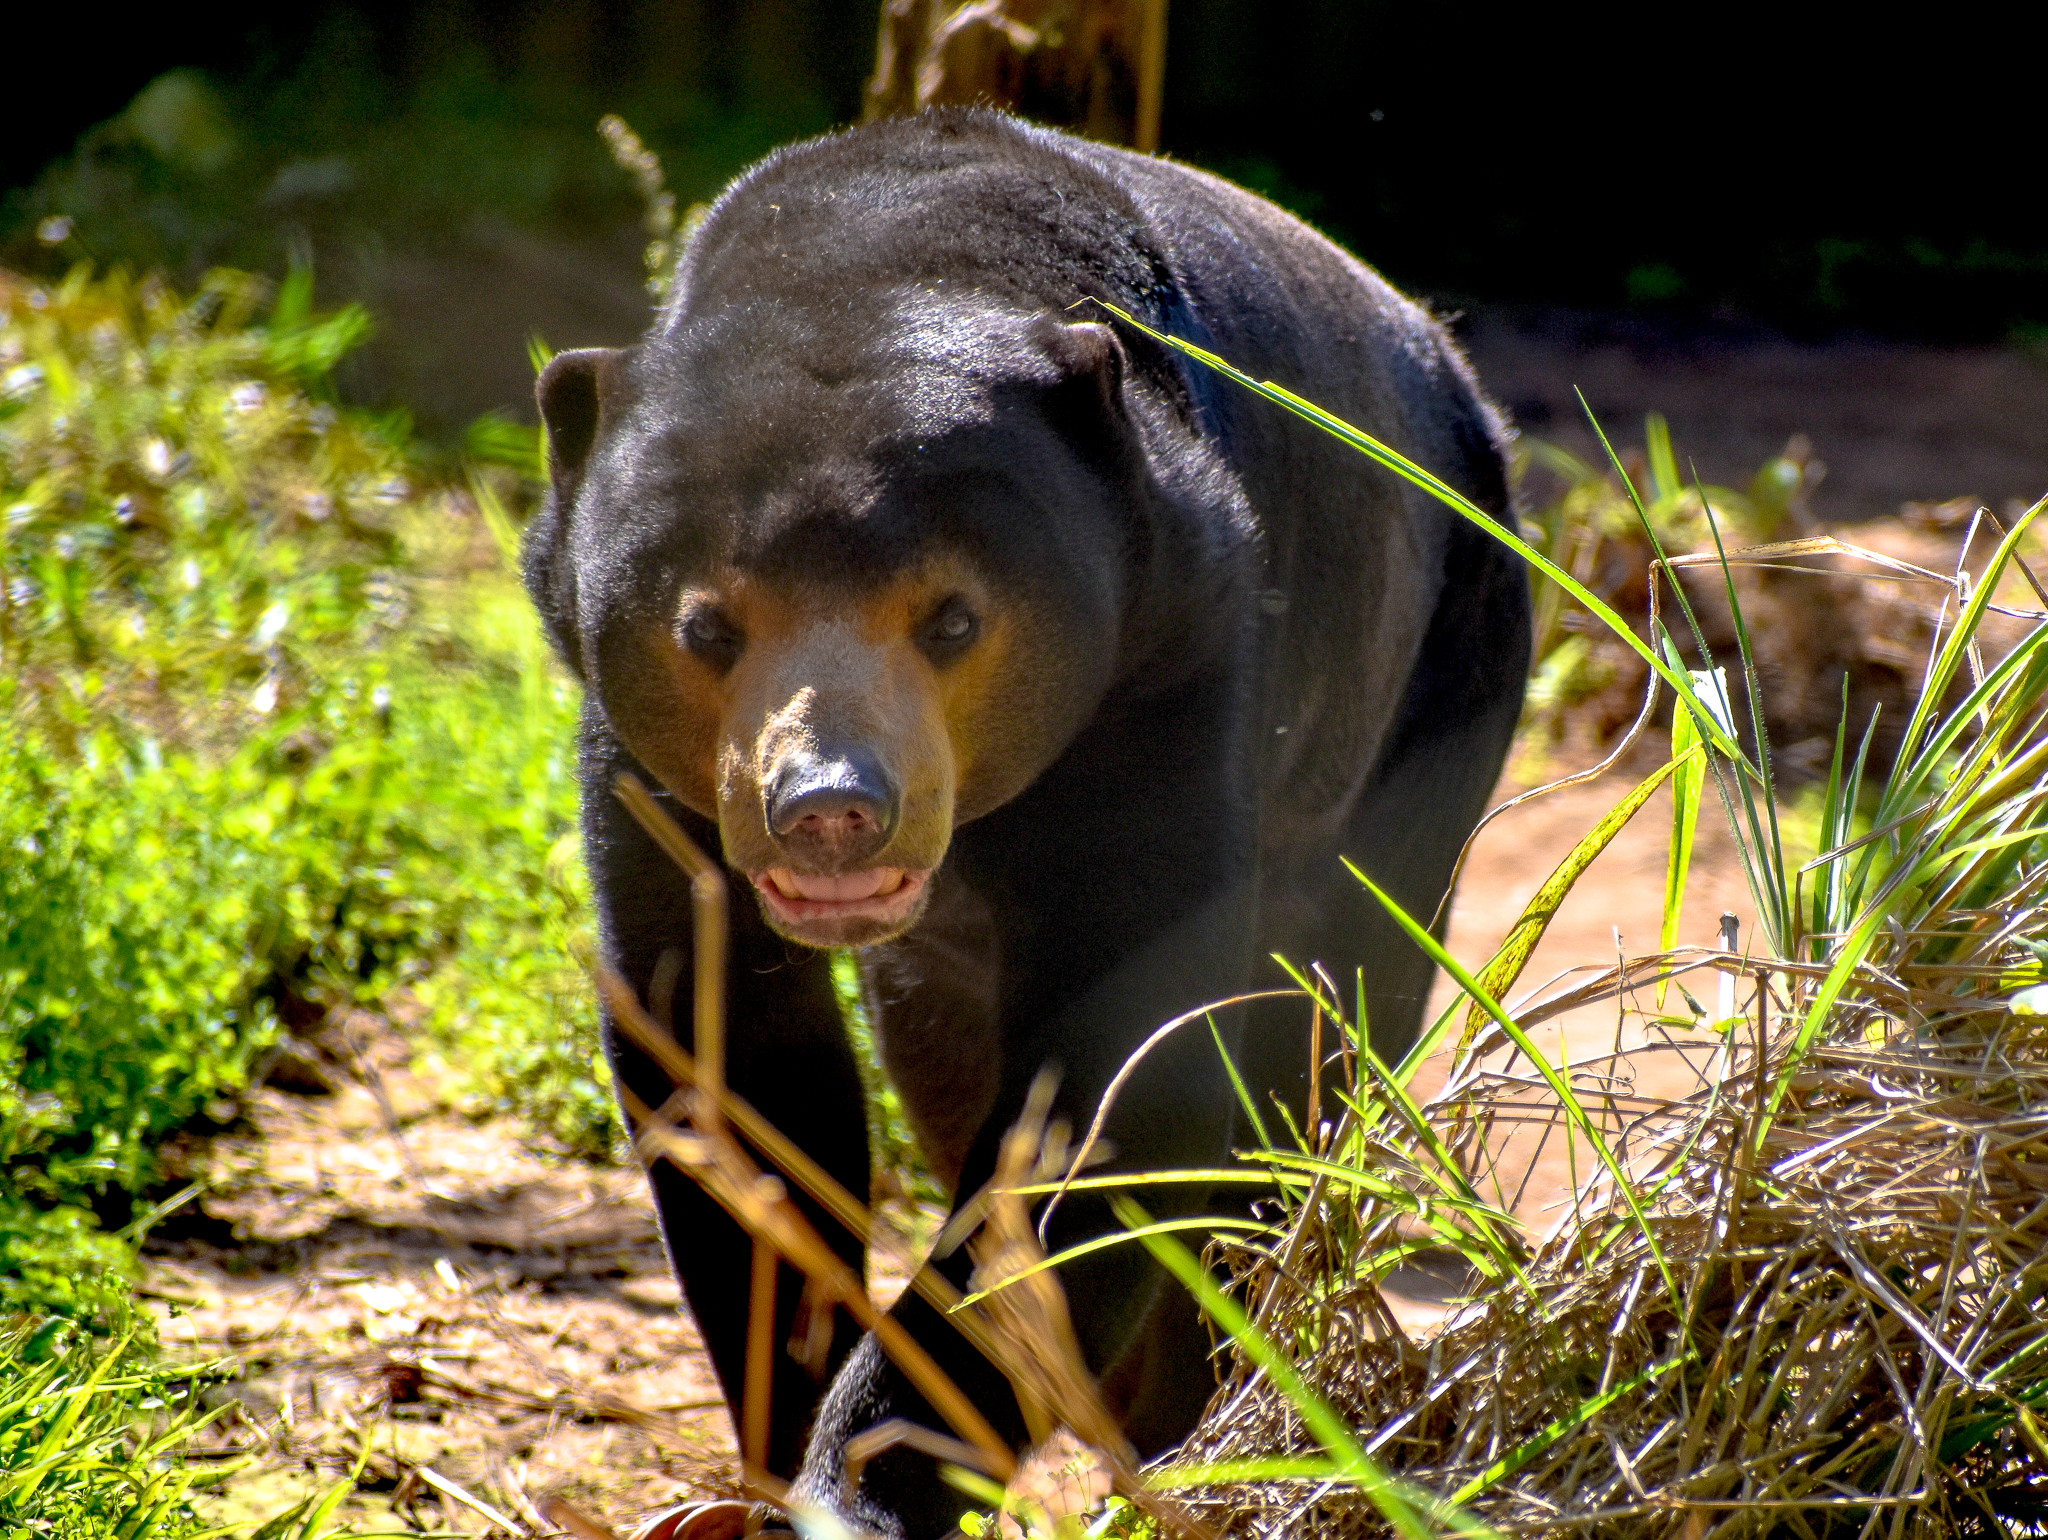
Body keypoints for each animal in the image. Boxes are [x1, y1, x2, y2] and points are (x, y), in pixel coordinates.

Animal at [523, 108, 1528, 1539]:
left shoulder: (1165, 664)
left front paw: (862, 1484)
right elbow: (726, 1060)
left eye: (951, 618)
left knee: (1319, 1047)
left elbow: (1114, 1092)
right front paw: (767, 1466)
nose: (830, 808)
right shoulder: (647, 773)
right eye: (705, 625)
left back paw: (1205, 1405)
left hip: (1440, 683)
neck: (883, 253)